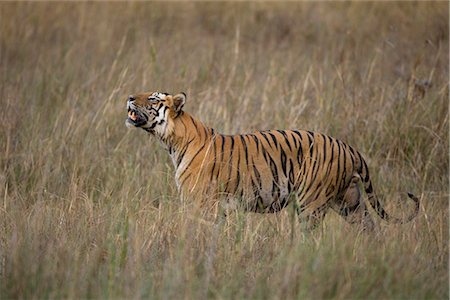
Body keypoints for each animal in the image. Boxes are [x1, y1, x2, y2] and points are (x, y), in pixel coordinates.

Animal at [125, 90, 420, 229]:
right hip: (350, 201)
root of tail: (349, 148)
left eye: (152, 98)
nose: (128, 97)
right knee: (371, 227)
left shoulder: (200, 205)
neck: (173, 142)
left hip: (311, 204)